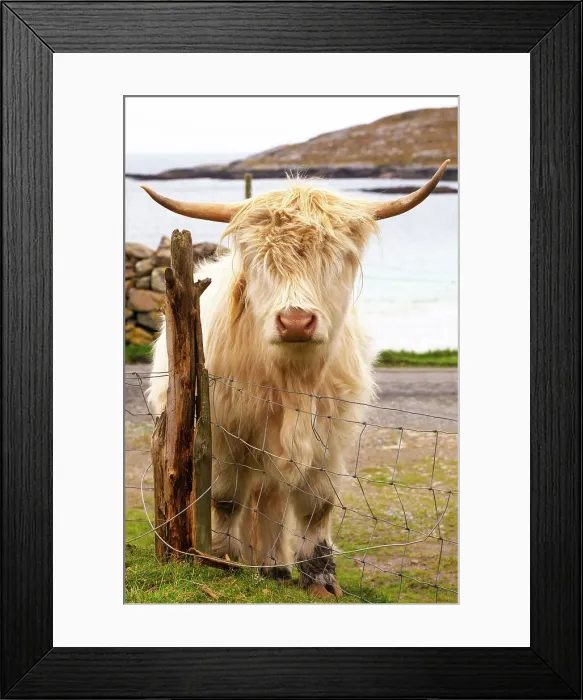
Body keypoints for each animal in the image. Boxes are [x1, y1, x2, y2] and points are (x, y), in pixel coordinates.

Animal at [143, 161, 449, 597]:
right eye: (257, 258)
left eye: (338, 255)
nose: (295, 321)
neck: (292, 380)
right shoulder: (223, 433)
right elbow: (224, 498)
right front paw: (224, 559)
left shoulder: (329, 437)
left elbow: (317, 505)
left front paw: (320, 579)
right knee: (249, 498)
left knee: (269, 499)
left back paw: (273, 567)